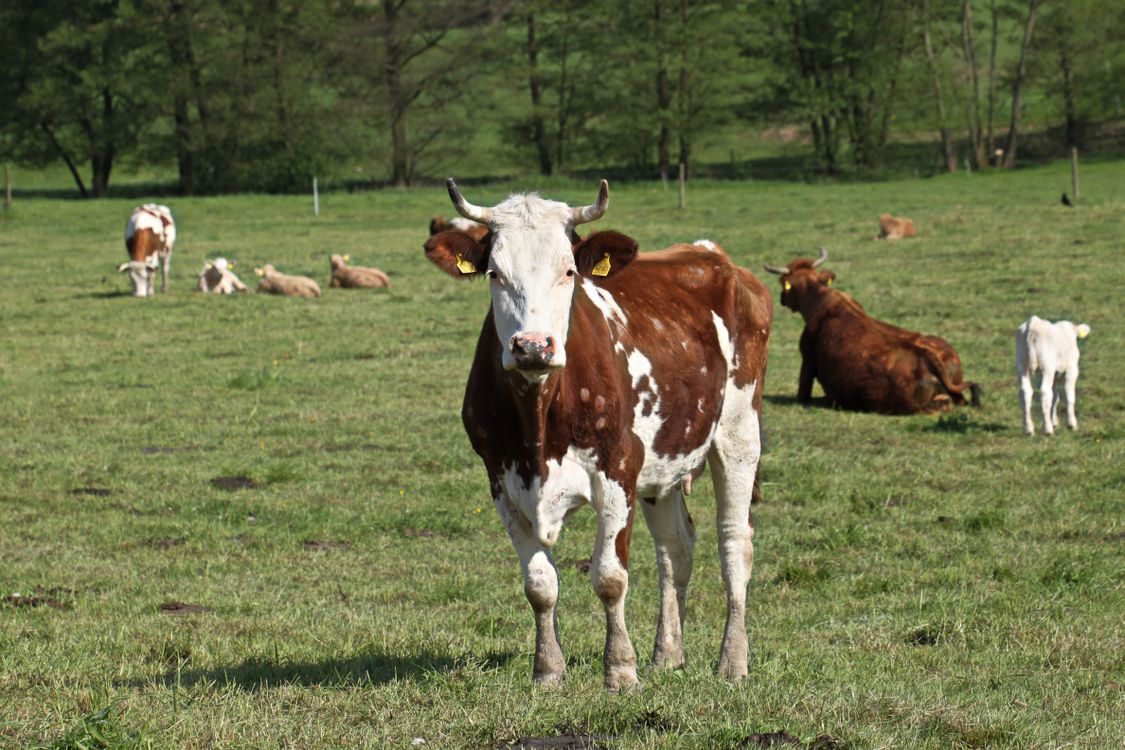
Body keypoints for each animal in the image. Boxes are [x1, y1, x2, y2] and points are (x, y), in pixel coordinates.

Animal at [424, 179, 772, 690]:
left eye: (569, 270)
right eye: (493, 272)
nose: (532, 346)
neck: (538, 420)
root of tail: (715, 256)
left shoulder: (617, 471)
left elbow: (609, 577)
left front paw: (621, 670)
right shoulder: (502, 483)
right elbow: (540, 586)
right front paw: (548, 670)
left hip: (738, 433)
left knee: (734, 541)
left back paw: (733, 660)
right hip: (663, 461)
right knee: (675, 548)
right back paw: (668, 654)